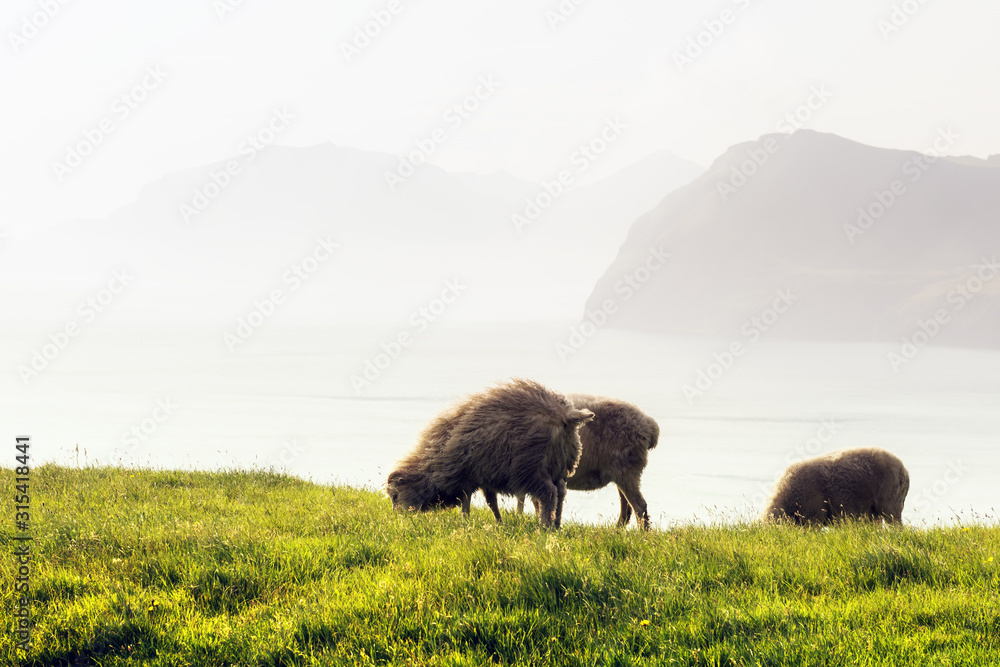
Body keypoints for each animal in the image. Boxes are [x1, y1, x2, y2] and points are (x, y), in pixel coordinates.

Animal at [384, 378, 592, 528]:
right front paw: (499, 523)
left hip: (530, 469)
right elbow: (491, 503)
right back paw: (556, 525)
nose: (396, 519)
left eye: (395, 496)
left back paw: (544, 527)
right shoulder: (483, 477)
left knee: (548, 494)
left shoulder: (466, 476)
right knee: (561, 493)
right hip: (560, 466)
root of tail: (565, 414)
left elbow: (467, 503)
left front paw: (465, 523)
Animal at [516, 394, 664, 528]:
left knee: (639, 506)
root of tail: (649, 425)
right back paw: (616, 531)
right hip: (621, 472)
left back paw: (642, 534)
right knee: (626, 506)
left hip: (626, 469)